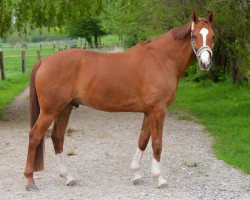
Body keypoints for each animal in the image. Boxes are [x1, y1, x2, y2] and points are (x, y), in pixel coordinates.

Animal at [23, 11, 215, 190]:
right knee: (35, 136)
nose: (205, 64)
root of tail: (44, 61)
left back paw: (68, 177)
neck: (161, 59)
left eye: (212, 36)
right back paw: (30, 180)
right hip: (50, 111)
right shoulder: (159, 110)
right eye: (194, 36)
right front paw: (159, 178)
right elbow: (157, 143)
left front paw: (136, 174)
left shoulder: (149, 112)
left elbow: (142, 141)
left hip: (65, 108)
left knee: (57, 137)